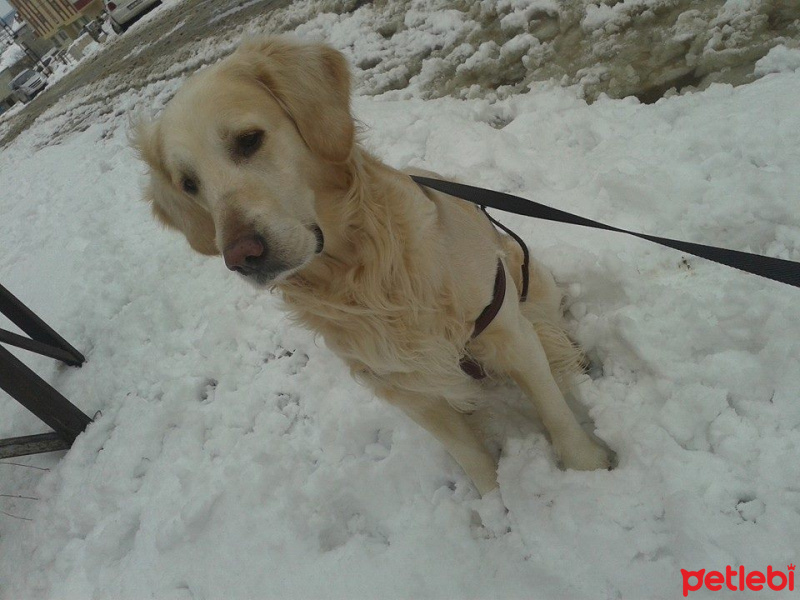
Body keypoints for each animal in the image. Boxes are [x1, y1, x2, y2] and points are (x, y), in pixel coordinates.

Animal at [136, 38, 612, 496]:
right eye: (188, 184)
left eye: (248, 140)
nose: (241, 257)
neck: (362, 272)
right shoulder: (406, 389)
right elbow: (470, 456)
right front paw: (497, 507)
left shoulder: (508, 333)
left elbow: (555, 411)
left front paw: (588, 467)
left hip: (528, 278)